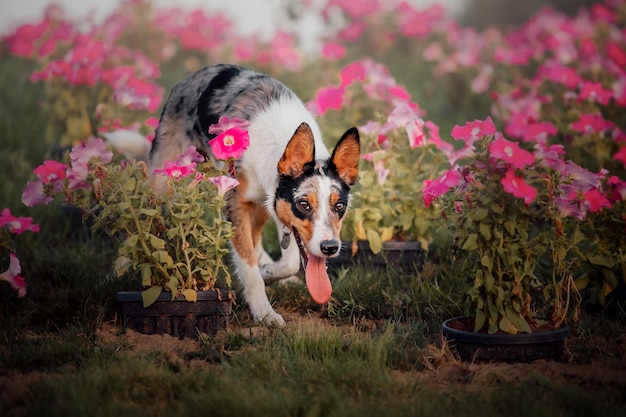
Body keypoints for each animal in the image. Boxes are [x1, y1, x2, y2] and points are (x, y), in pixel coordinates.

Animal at [146, 65, 358, 324]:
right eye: (304, 204)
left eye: (339, 206)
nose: (330, 247)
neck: (280, 144)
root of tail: (195, 75)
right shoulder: (235, 203)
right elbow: (248, 265)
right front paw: (264, 313)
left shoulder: (277, 207)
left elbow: (289, 260)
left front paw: (270, 272)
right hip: (164, 174)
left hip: (261, 205)